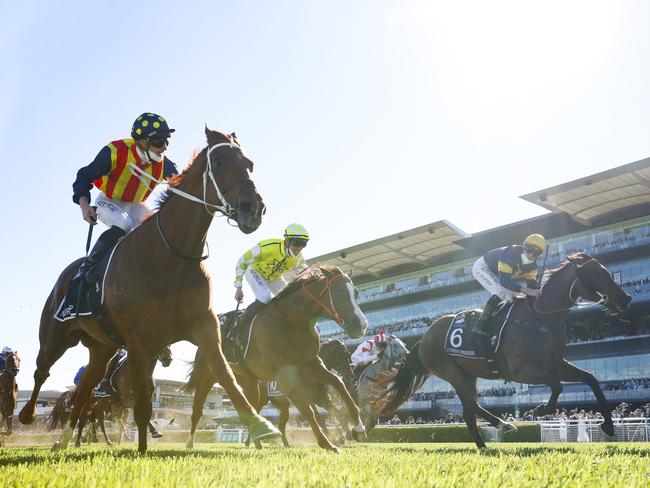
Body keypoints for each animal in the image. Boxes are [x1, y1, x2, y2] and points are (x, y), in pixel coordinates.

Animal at [19, 127, 278, 452]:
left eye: (249, 163)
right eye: (218, 162)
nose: (253, 209)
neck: (171, 256)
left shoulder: (203, 325)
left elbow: (225, 373)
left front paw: (260, 425)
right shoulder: (138, 341)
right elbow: (141, 403)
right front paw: (141, 449)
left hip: (102, 347)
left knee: (85, 390)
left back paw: (64, 440)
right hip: (56, 335)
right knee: (42, 370)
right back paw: (29, 414)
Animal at [185, 264, 368, 452]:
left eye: (356, 293)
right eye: (338, 292)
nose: (361, 326)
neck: (293, 321)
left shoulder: (310, 366)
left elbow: (338, 385)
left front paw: (358, 429)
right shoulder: (285, 375)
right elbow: (309, 411)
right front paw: (328, 443)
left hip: (250, 383)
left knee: (253, 409)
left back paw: (259, 442)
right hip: (208, 376)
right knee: (197, 409)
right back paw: (190, 443)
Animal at [378, 254, 632, 448]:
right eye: (596, 274)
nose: (625, 298)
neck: (539, 318)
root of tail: (425, 337)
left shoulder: (557, 364)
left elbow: (591, 380)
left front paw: (608, 425)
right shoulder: (520, 371)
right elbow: (557, 386)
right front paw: (541, 409)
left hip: (468, 374)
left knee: (472, 407)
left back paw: (497, 430)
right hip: (451, 371)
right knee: (469, 409)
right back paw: (490, 438)